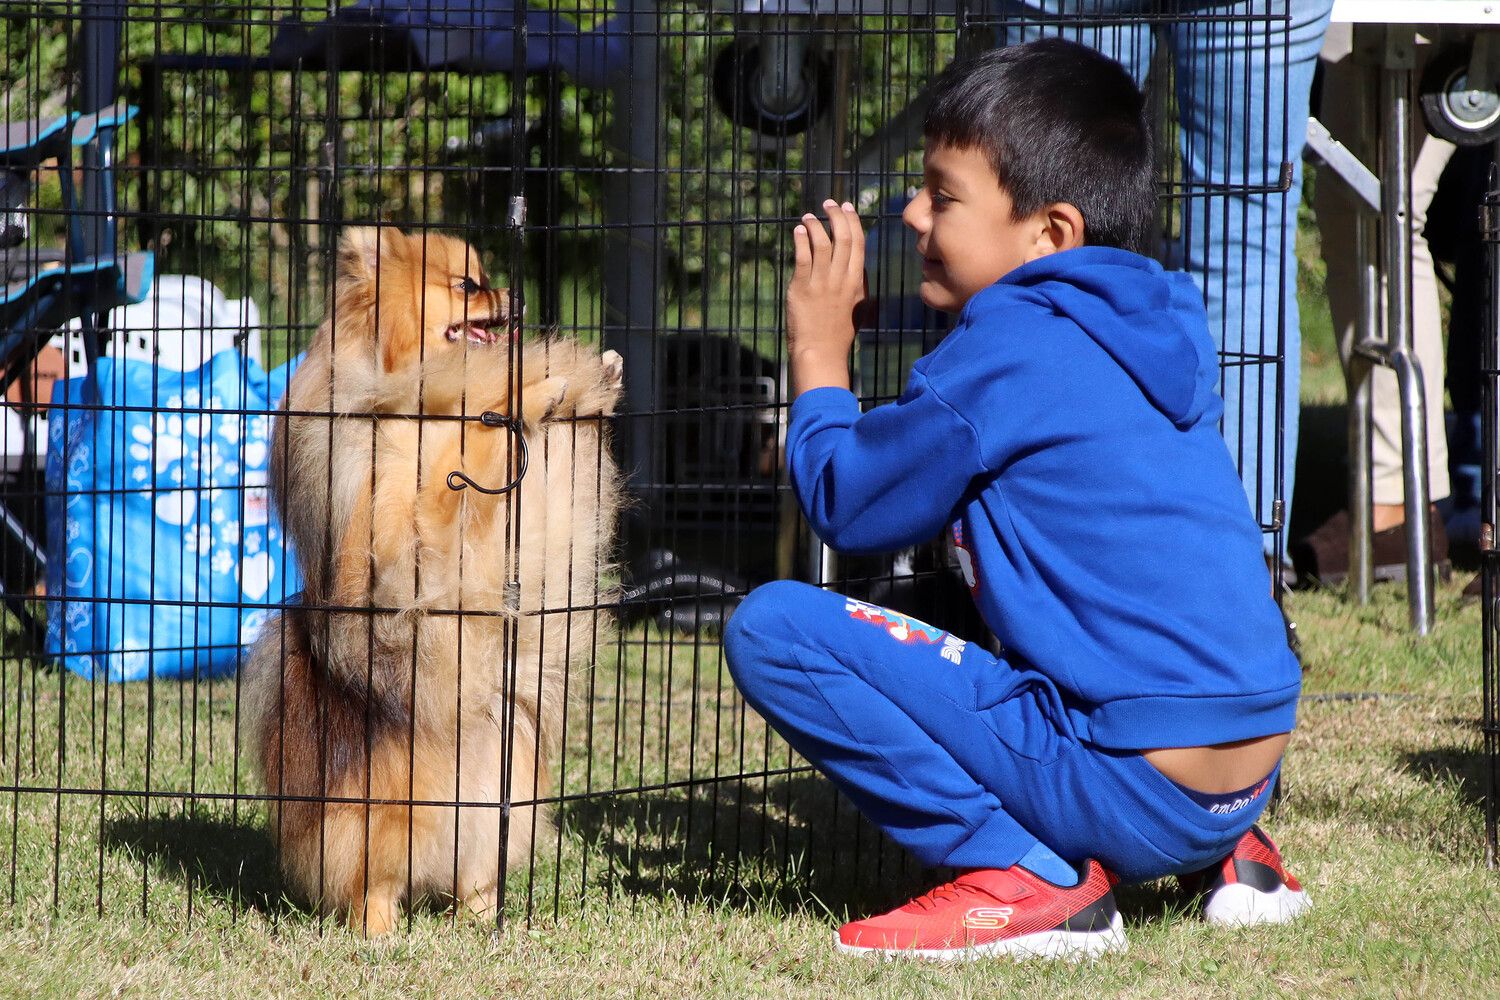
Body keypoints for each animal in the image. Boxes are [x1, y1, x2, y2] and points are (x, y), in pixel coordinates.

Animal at [240, 229, 621, 941]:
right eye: (468, 286)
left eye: (488, 275)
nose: (514, 294)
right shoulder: (394, 518)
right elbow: (460, 457)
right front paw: (530, 393)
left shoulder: (530, 517)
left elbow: (542, 474)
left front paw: (589, 384)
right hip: (381, 815)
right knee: (369, 882)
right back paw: (381, 933)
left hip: (500, 794)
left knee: (476, 867)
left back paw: (486, 918)